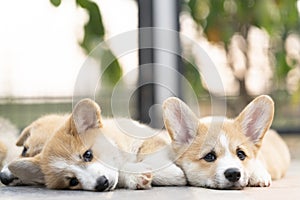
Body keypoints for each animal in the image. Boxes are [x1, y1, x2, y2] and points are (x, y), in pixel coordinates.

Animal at [7, 99, 188, 191]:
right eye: (72, 181)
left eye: (88, 155)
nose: (101, 184)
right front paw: (136, 175)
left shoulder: (148, 139)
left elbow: (152, 156)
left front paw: (171, 174)